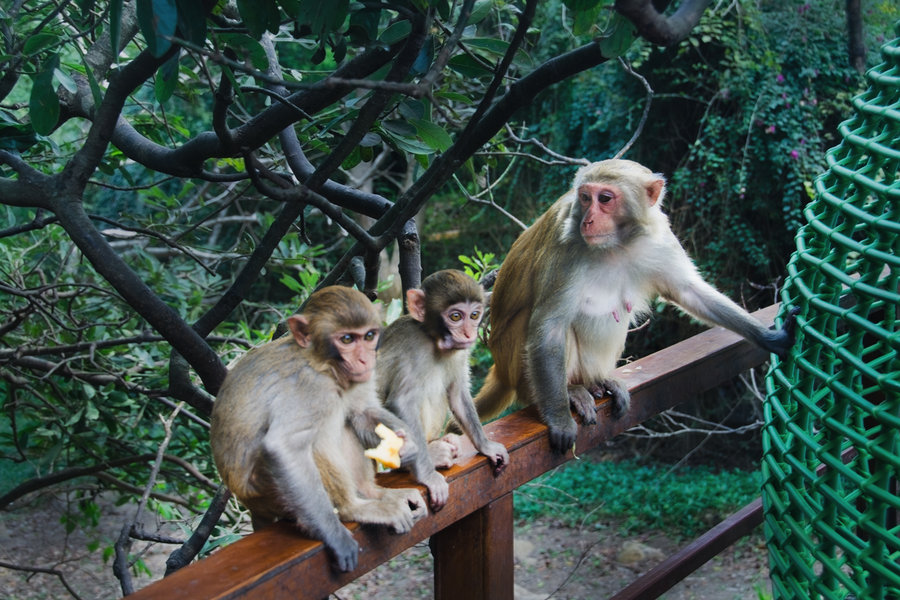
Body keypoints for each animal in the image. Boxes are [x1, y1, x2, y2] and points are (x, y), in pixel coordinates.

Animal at [211, 286, 426, 572]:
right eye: (346, 339)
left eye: (369, 336)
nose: (365, 359)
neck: (324, 365)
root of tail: (249, 503)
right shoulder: (309, 387)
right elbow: (283, 446)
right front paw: (334, 534)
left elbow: (363, 412)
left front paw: (408, 444)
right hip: (265, 491)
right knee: (316, 440)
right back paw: (352, 508)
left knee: (346, 420)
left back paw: (371, 492)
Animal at [376, 272, 510, 510]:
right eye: (455, 316)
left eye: (474, 315)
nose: (469, 333)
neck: (432, 340)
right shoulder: (412, 347)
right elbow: (402, 402)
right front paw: (427, 476)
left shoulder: (460, 353)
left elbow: (457, 395)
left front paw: (486, 446)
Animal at [474, 159, 800, 454]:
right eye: (585, 197)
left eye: (605, 199)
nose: (587, 220)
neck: (617, 243)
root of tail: (502, 370)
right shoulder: (564, 246)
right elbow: (550, 328)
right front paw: (559, 420)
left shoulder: (660, 239)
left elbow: (689, 291)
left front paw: (771, 338)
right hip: (514, 359)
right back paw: (569, 391)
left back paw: (596, 382)